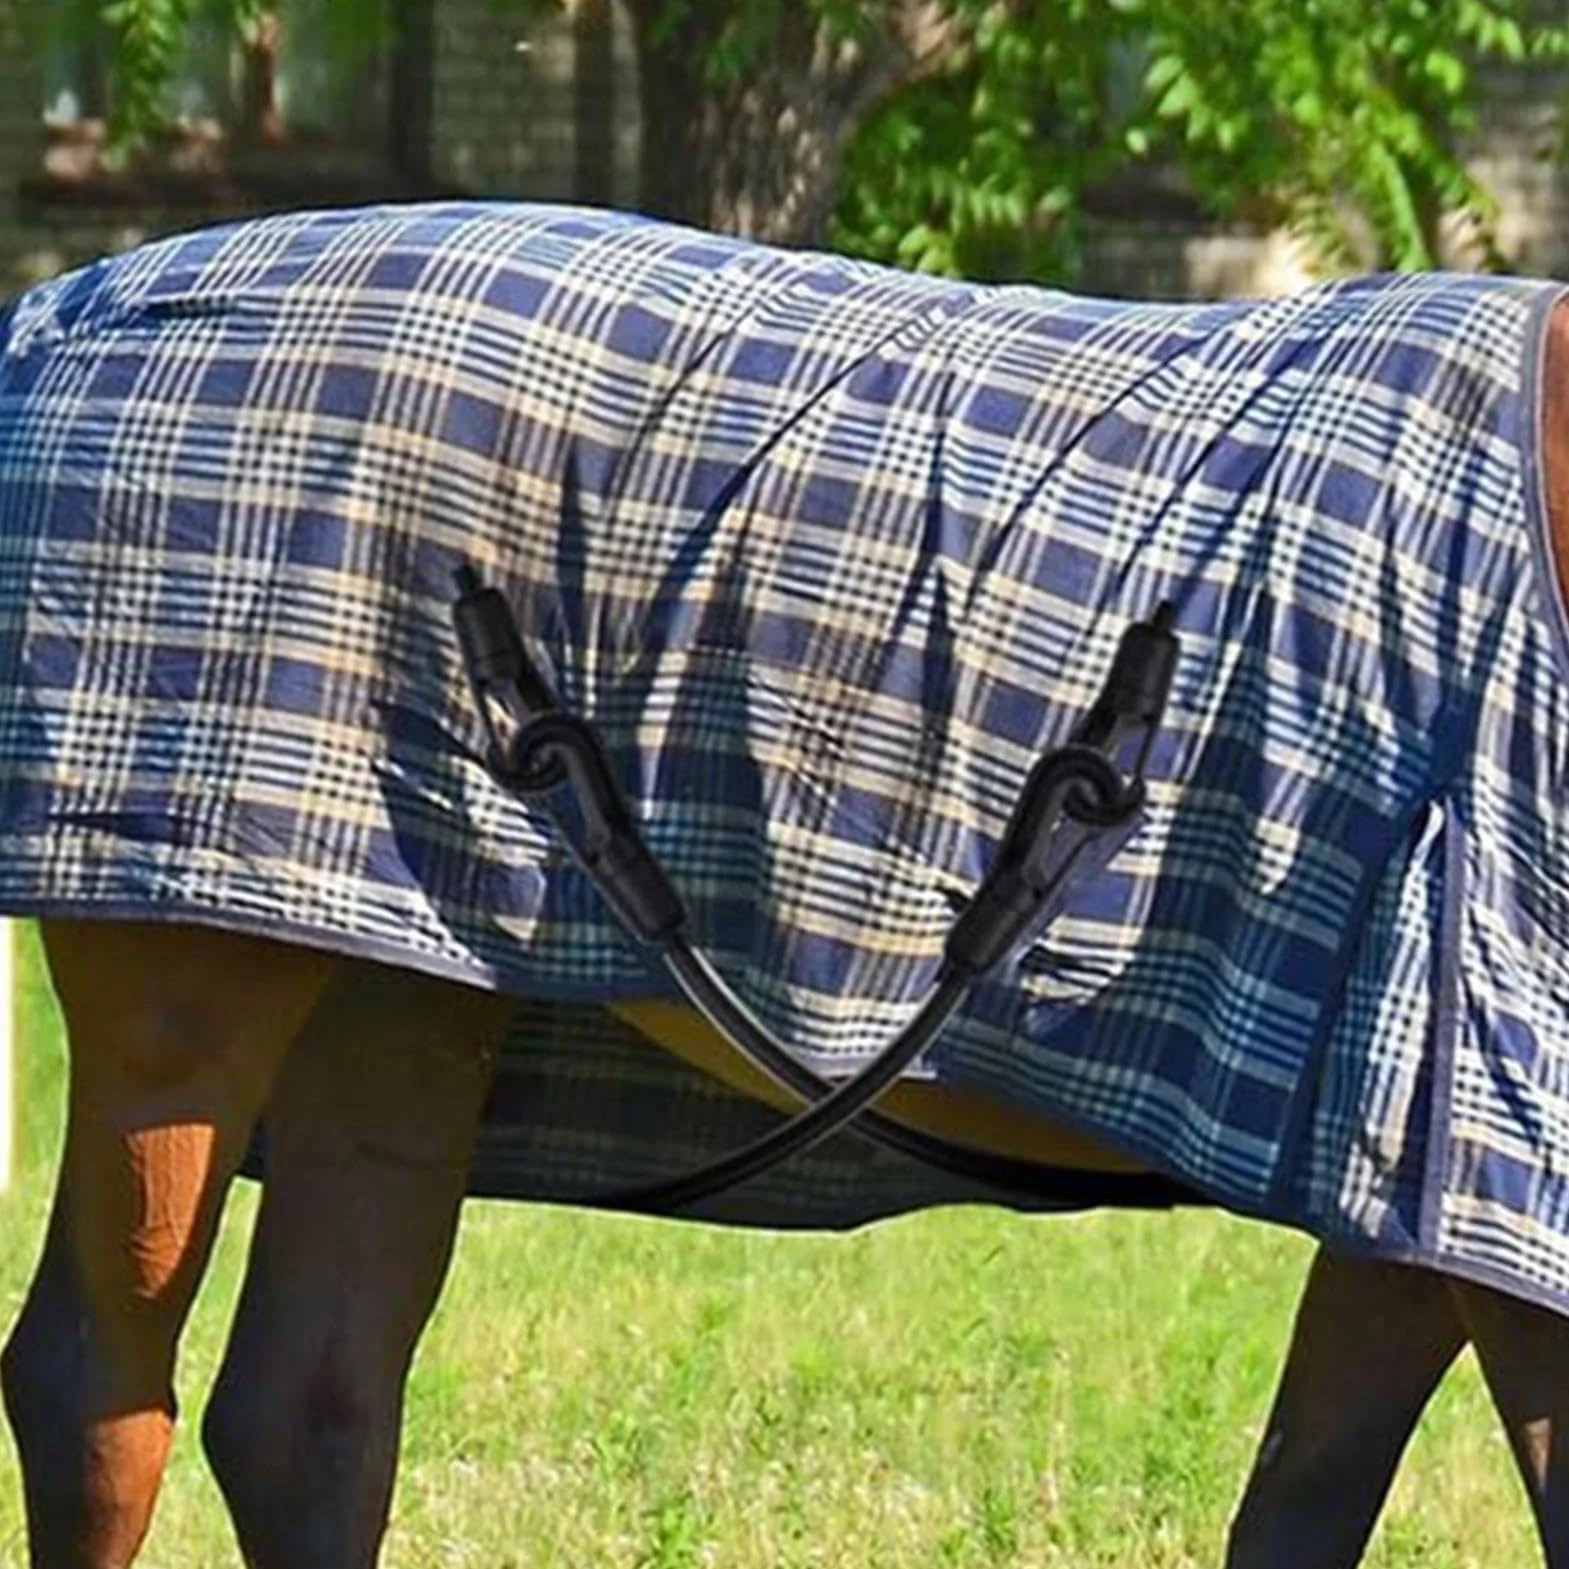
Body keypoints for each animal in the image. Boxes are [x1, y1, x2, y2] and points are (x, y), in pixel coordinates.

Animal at [1, 200, 1568, 1569]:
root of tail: (65, 310)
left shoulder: (1414, 1156)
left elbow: (1304, 1501)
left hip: (400, 983)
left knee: (309, 1411)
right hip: (186, 991)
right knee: (95, 1395)